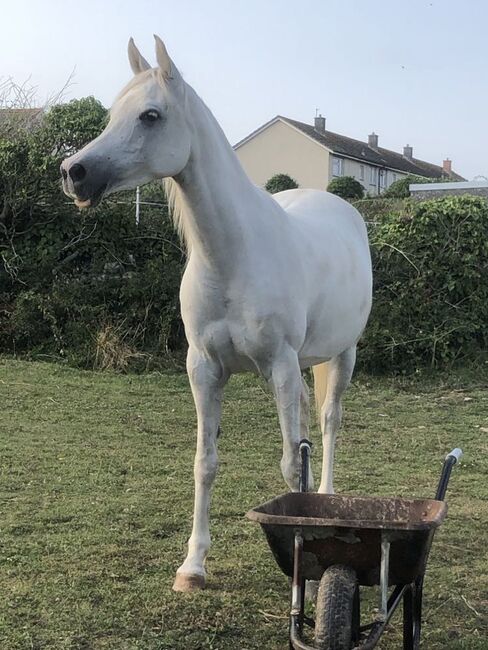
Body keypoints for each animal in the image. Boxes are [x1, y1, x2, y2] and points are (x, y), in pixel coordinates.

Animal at [63, 35, 372, 592]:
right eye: (114, 113)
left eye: (150, 115)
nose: (73, 173)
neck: (233, 256)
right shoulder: (204, 368)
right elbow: (205, 463)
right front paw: (193, 566)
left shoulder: (279, 367)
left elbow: (289, 466)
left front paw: (305, 572)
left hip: (342, 355)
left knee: (329, 420)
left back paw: (328, 501)